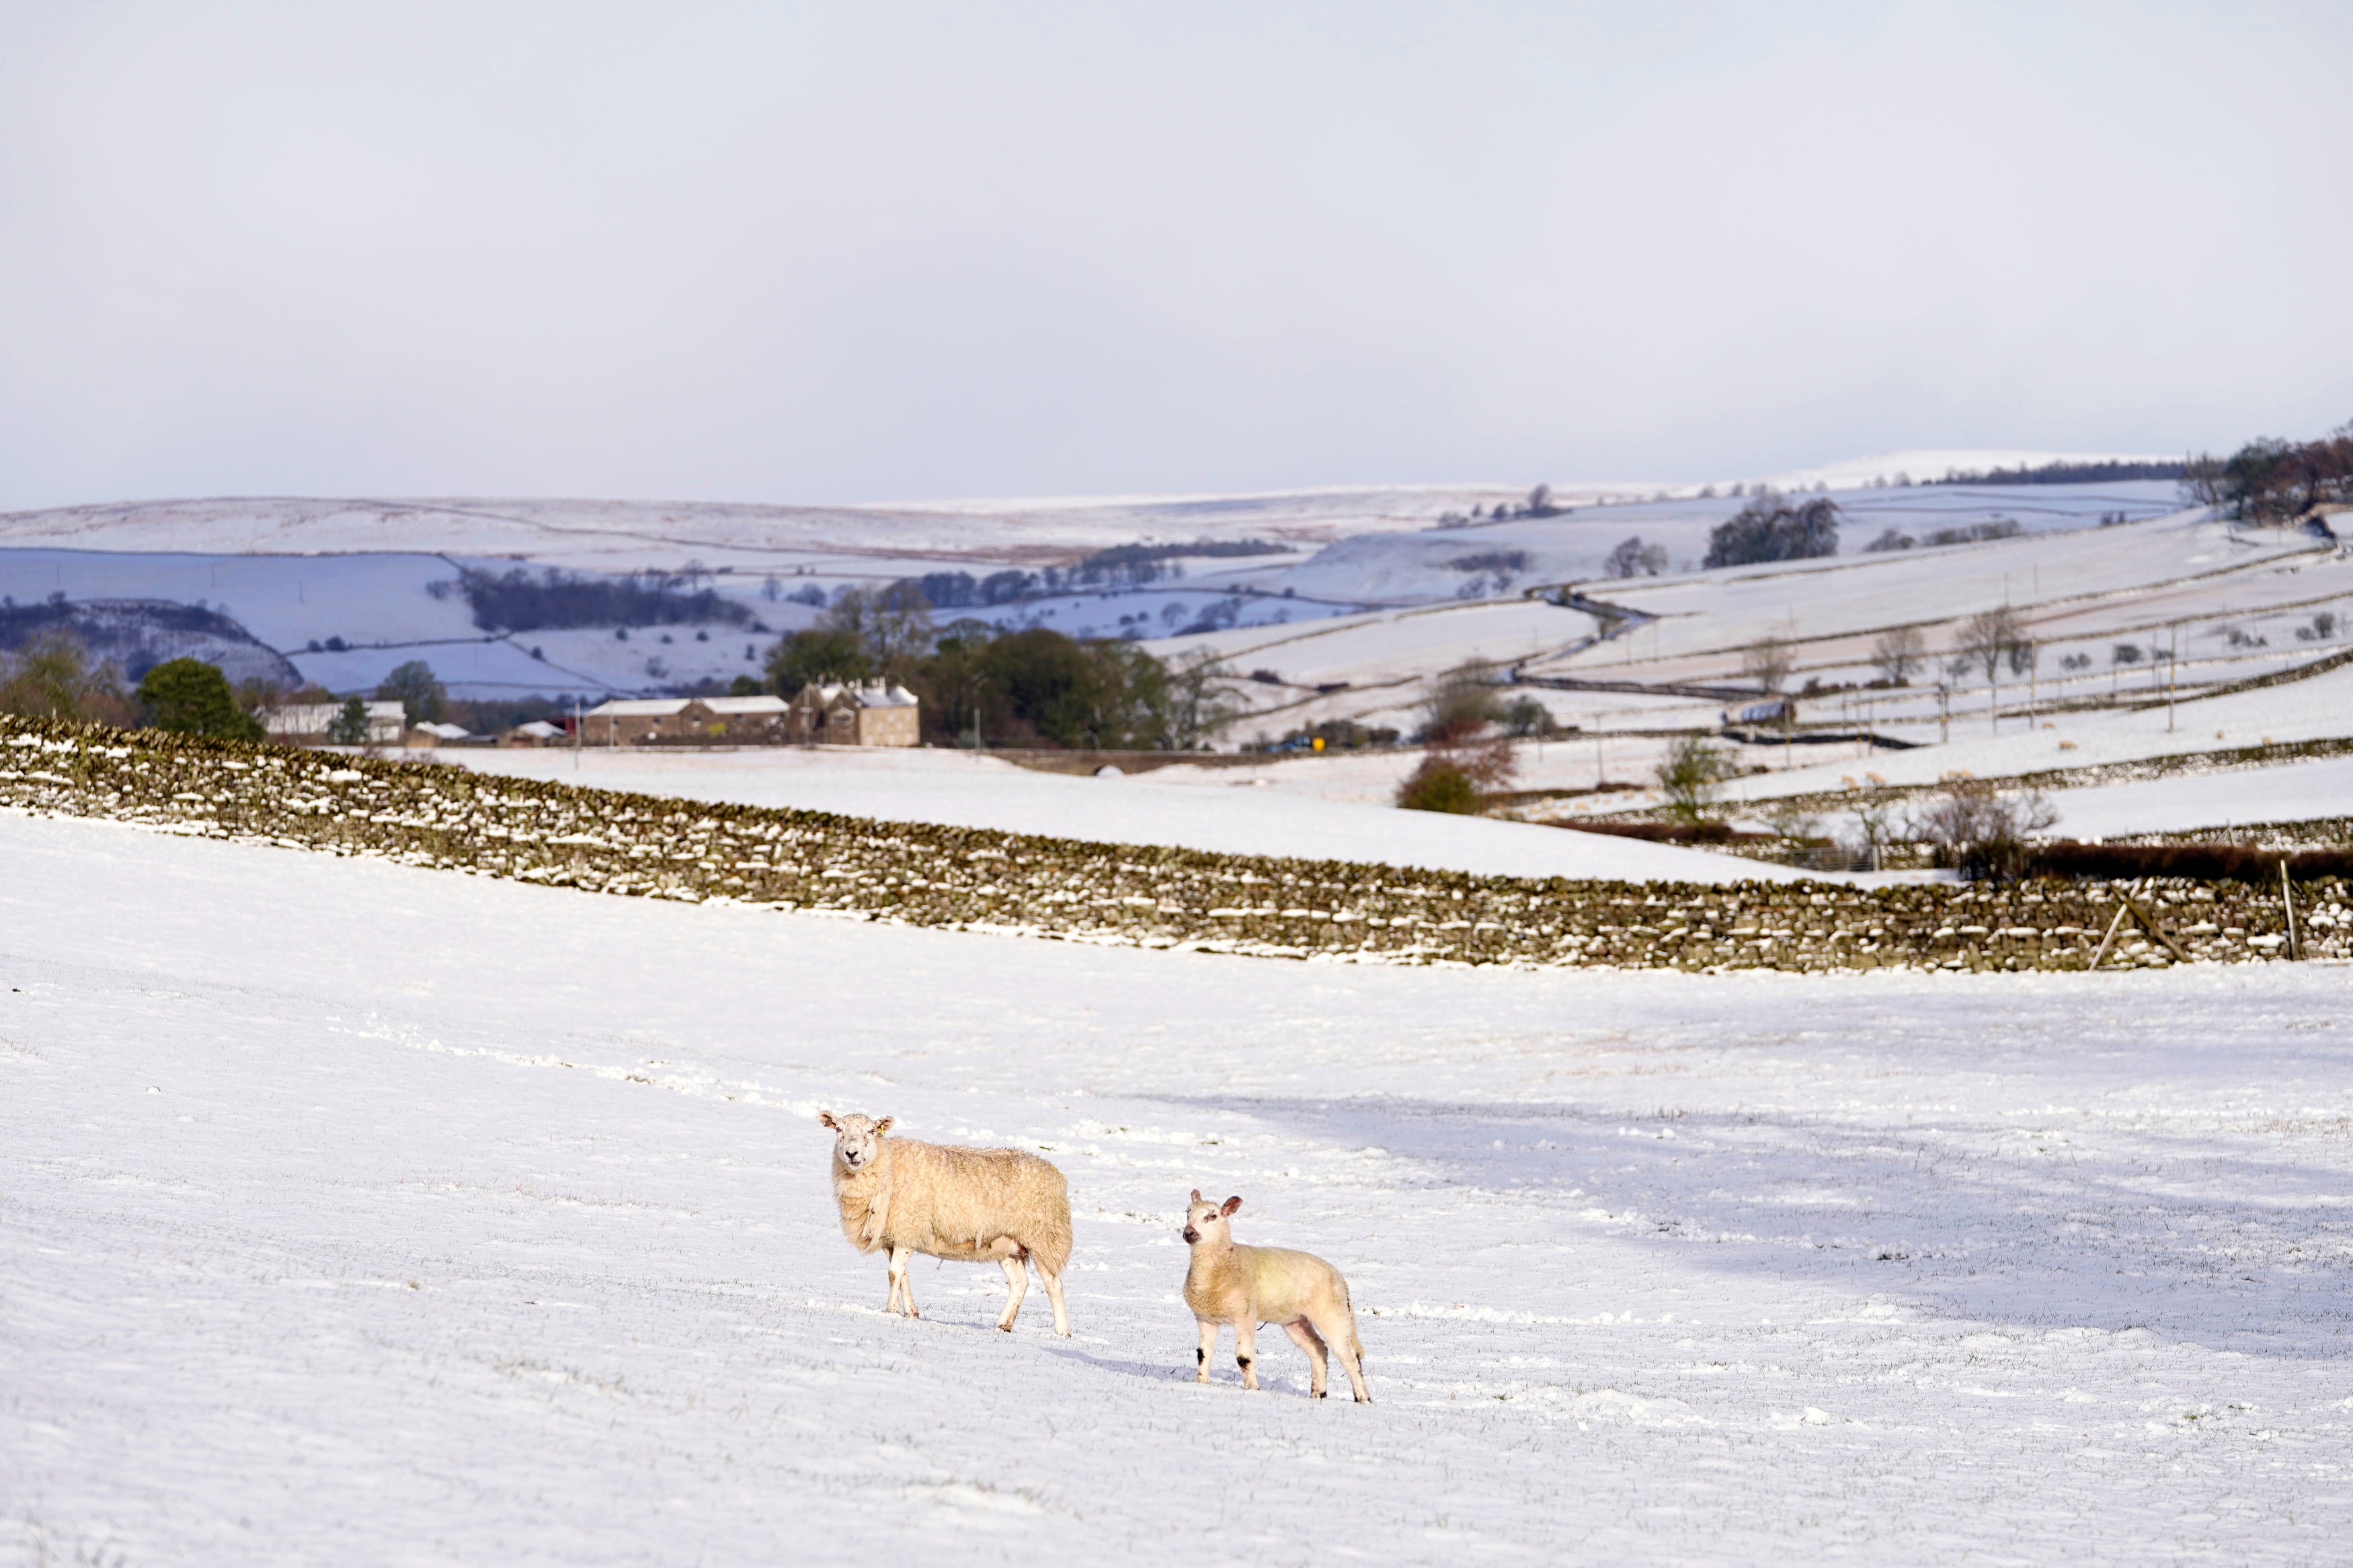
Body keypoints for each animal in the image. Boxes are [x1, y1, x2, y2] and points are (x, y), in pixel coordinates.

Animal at [819, 1114, 1078, 1335]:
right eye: (838, 1130)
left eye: (871, 1131)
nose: (851, 1153)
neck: (887, 1165)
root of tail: (1056, 1173)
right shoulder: (894, 1237)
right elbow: (903, 1276)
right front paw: (911, 1313)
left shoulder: (908, 1227)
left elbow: (894, 1274)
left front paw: (891, 1311)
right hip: (1008, 1245)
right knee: (1019, 1283)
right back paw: (1003, 1326)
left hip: (1045, 1239)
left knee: (1054, 1285)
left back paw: (1062, 1333)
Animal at [1186, 1194, 1374, 1401]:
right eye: (1188, 1212)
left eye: (1212, 1216)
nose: (1189, 1233)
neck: (1226, 1262)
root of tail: (1342, 1280)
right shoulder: (1205, 1318)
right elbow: (1203, 1354)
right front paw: (1200, 1383)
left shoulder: (1245, 1316)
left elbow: (1244, 1358)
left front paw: (1252, 1388)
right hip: (1296, 1321)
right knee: (1319, 1350)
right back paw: (1318, 1394)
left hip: (1332, 1312)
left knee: (1349, 1356)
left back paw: (1363, 1398)